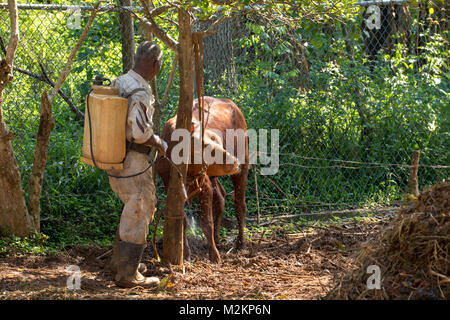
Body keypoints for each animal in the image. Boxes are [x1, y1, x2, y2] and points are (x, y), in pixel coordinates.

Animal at [156, 96, 250, 264]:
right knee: (221, 197)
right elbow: (183, 220)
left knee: (240, 204)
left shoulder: (204, 184)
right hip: (213, 176)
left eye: (217, 140)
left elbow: (207, 222)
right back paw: (218, 239)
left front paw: (214, 256)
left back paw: (240, 243)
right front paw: (185, 254)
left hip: (244, 163)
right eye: (205, 145)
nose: (234, 161)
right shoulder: (171, 185)